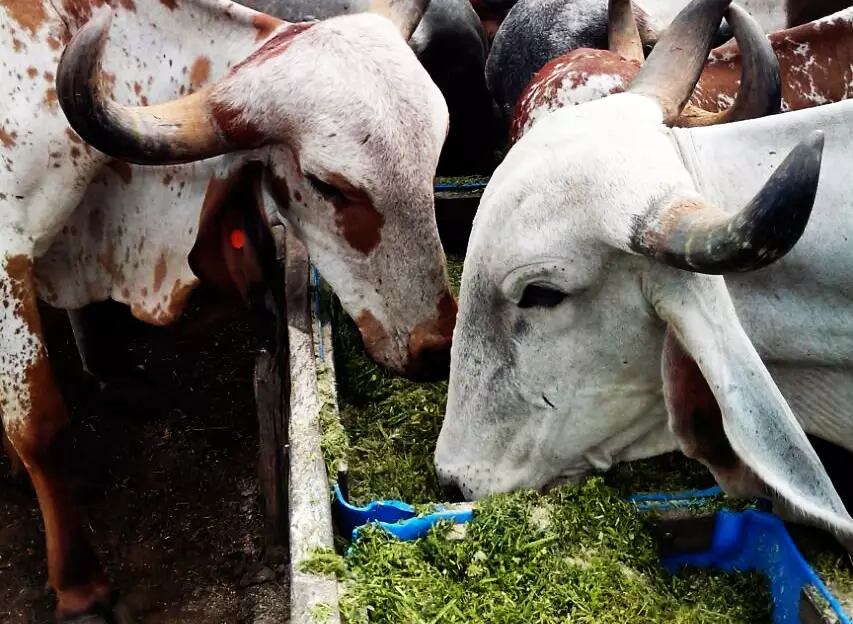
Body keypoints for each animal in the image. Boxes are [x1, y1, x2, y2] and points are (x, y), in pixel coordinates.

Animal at [0, 0, 456, 620]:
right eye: (327, 186)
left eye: (435, 157)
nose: (437, 348)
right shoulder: (8, 258)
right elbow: (40, 428)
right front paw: (79, 586)